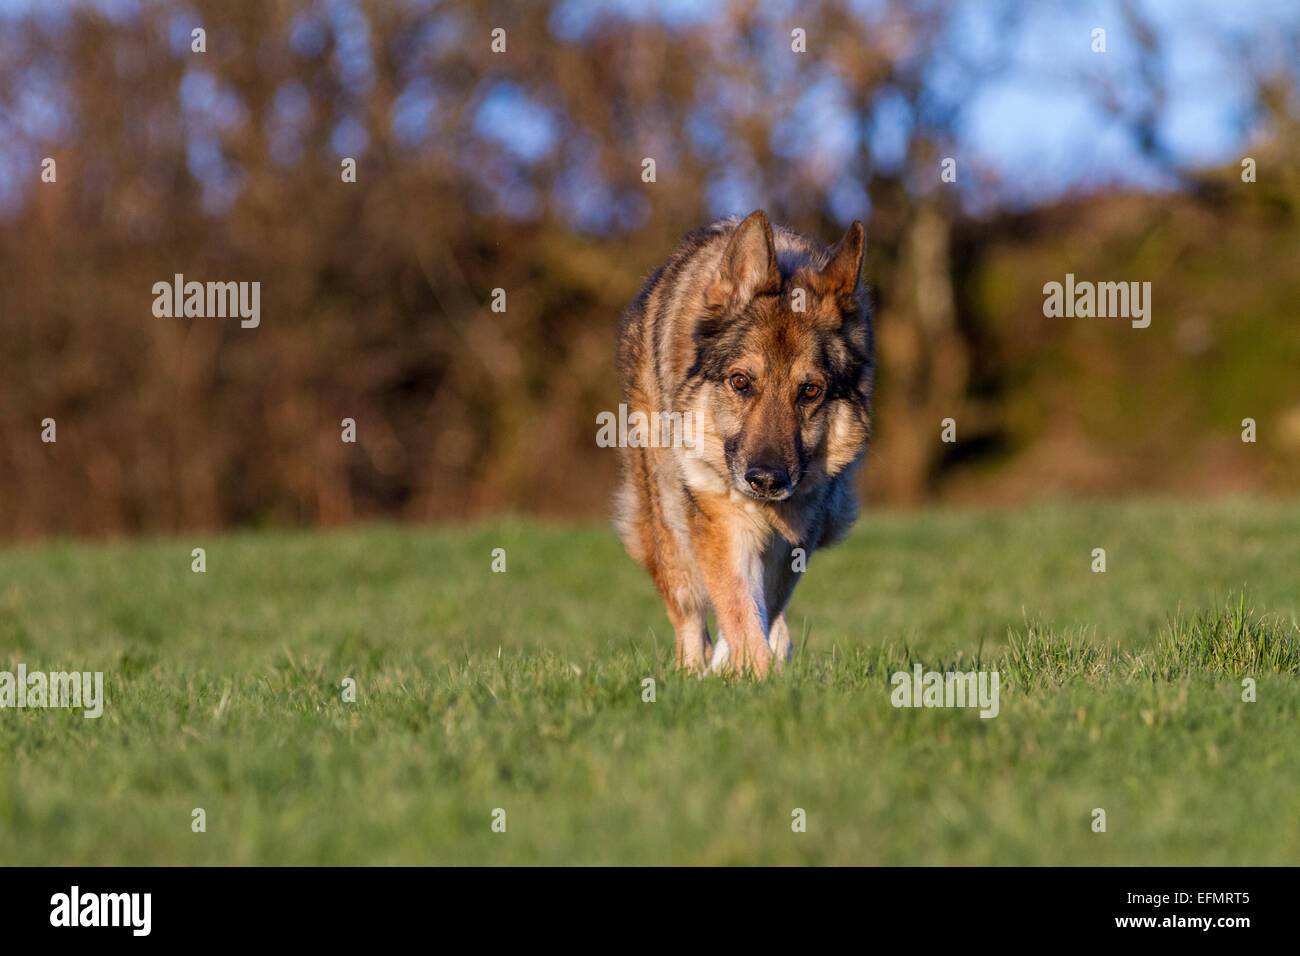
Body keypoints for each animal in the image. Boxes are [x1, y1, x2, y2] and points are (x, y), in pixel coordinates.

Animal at [616, 210, 873, 671]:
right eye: (740, 382)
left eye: (810, 391)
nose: (767, 481)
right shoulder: (719, 516)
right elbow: (737, 607)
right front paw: (753, 673)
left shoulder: (796, 536)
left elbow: (760, 609)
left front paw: (748, 668)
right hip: (668, 525)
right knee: (690, 614)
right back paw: (695, 671)